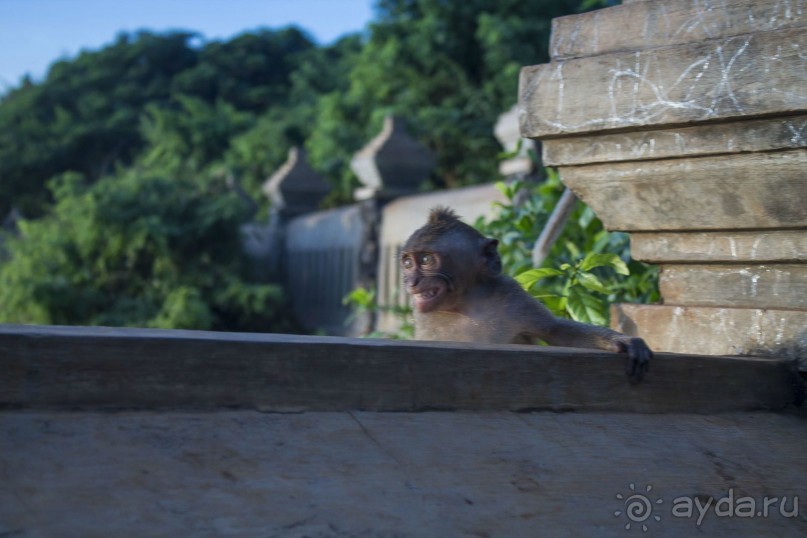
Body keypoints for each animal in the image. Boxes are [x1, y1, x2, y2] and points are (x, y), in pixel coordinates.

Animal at [400, 205, 652, 382]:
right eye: (407, 263)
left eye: (426, 260)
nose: (411, 281)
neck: (464, 303)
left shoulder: (513, 296)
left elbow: (556, 331)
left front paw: (622, 341)